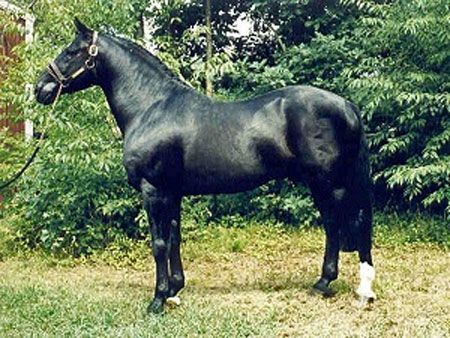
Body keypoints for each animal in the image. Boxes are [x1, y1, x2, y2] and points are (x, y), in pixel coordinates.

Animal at [35, 19, 376, 312]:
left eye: (71, 51)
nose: (40, 88)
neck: (150, 108)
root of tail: (347, 105)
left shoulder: (153, 191)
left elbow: (159, 243)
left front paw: (157, 300)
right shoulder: (171, 192)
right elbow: (174, 238)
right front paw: (174, 291)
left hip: (331, 182)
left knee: (350, 223)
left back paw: (354, 288)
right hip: (322, 183)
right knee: (335, 224)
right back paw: (329, 284)